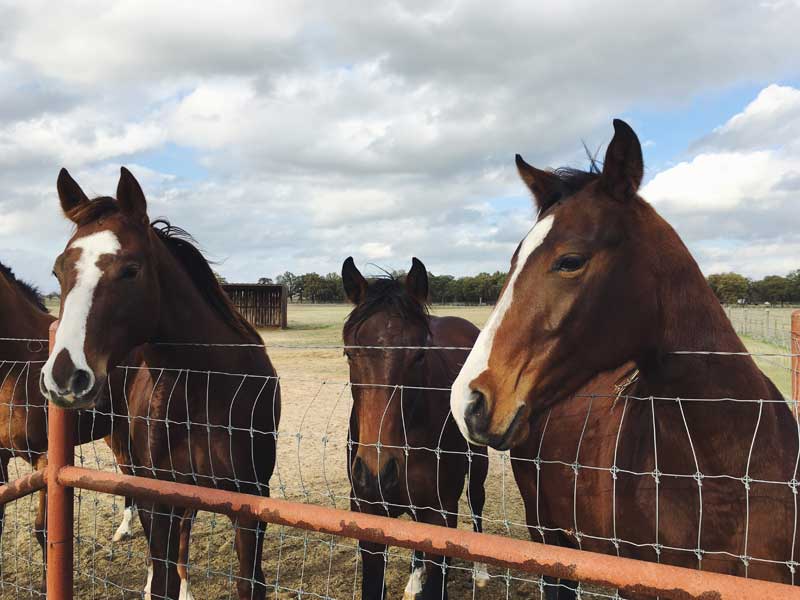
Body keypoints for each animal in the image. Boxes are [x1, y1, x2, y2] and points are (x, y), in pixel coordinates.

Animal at [43, 165, 284, 600]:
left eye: (131, 269)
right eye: (58, 270)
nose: (65, 376)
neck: (209, 387)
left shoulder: (251, 502)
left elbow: (248, 582)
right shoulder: (161, 498)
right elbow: (163, 577)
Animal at [342, 258, 490, 600]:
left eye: (420, 355)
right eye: (349, 353)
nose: (377, 474)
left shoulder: (440, 515)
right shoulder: (369, 513)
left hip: (478, 463)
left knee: (476, 500)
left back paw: (480, 571)